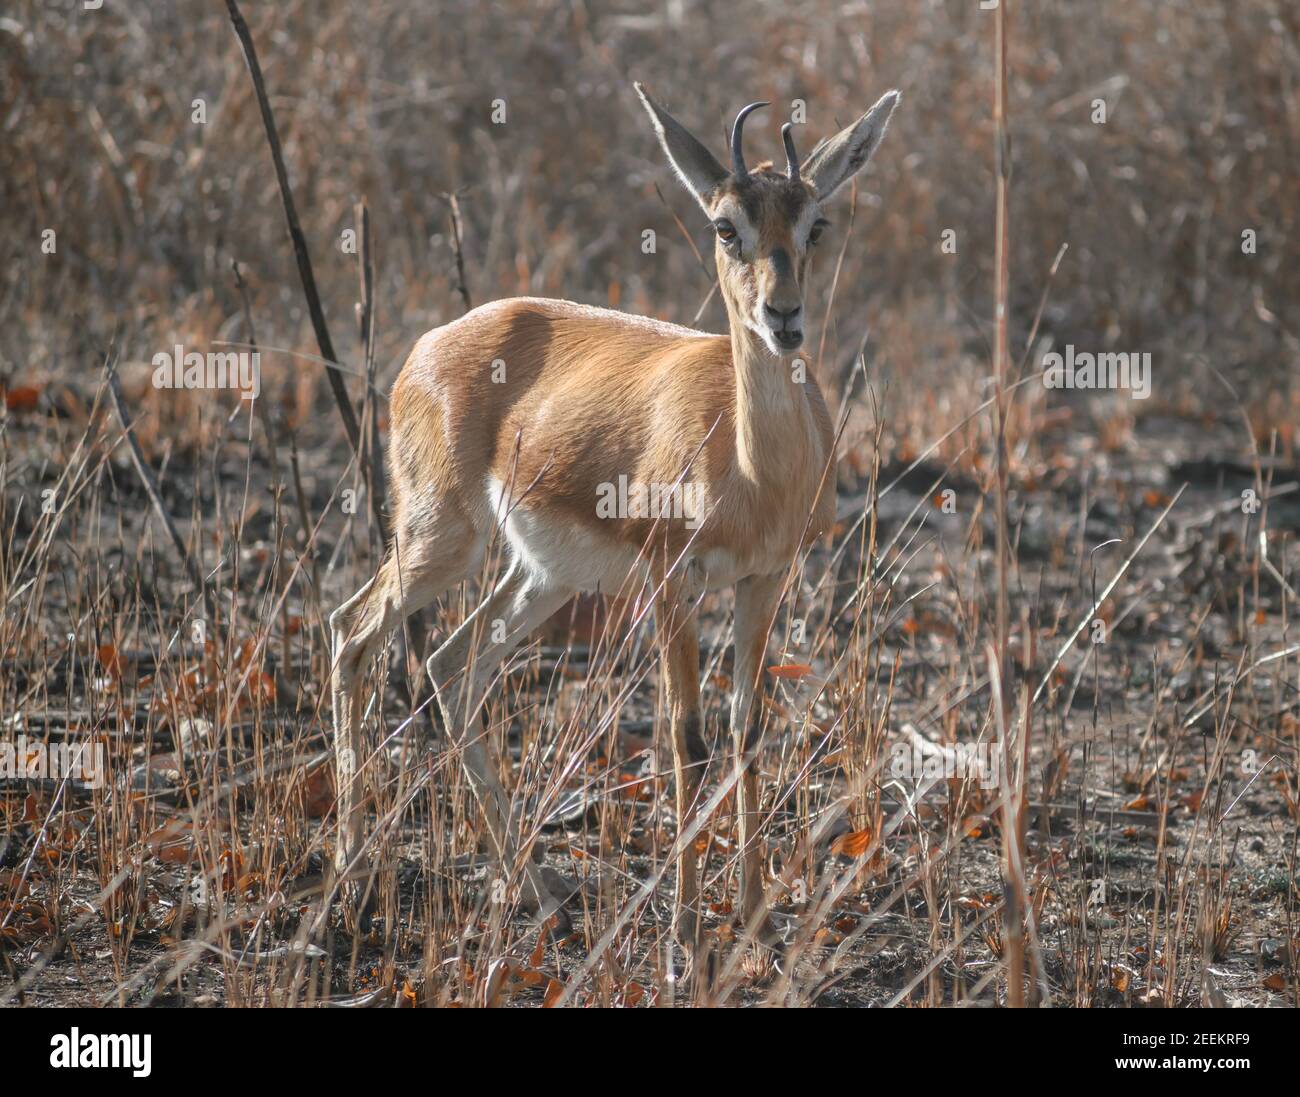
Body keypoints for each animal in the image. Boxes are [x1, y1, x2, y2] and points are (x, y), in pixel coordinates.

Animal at [330, 84, 899, 951]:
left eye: (816, 224)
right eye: (724, 225)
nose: (784, 316)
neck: (750, 468)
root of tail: (430, 343)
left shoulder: (766, 580)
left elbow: (747, 732)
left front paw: (756, 918)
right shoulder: (671, 581)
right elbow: (685, 739)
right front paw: (687, 933)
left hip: (545, 575)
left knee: (453, 663)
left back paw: (539, 890)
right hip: (442, 540)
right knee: (354, 632)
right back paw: (354, 876)